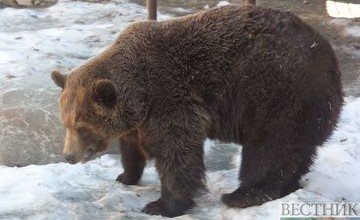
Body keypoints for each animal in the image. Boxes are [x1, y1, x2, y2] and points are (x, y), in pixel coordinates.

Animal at [50, 5, 344, 218]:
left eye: (81, 126)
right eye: (65, 123)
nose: (68, 156)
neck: (140, 92)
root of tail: (329, 54)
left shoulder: (170, 97)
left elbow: (176, 153)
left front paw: (162, 205)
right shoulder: (138, 119)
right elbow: (132, 147)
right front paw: (126, 176)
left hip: (279, 91)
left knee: (269, 148)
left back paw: (245, 194)